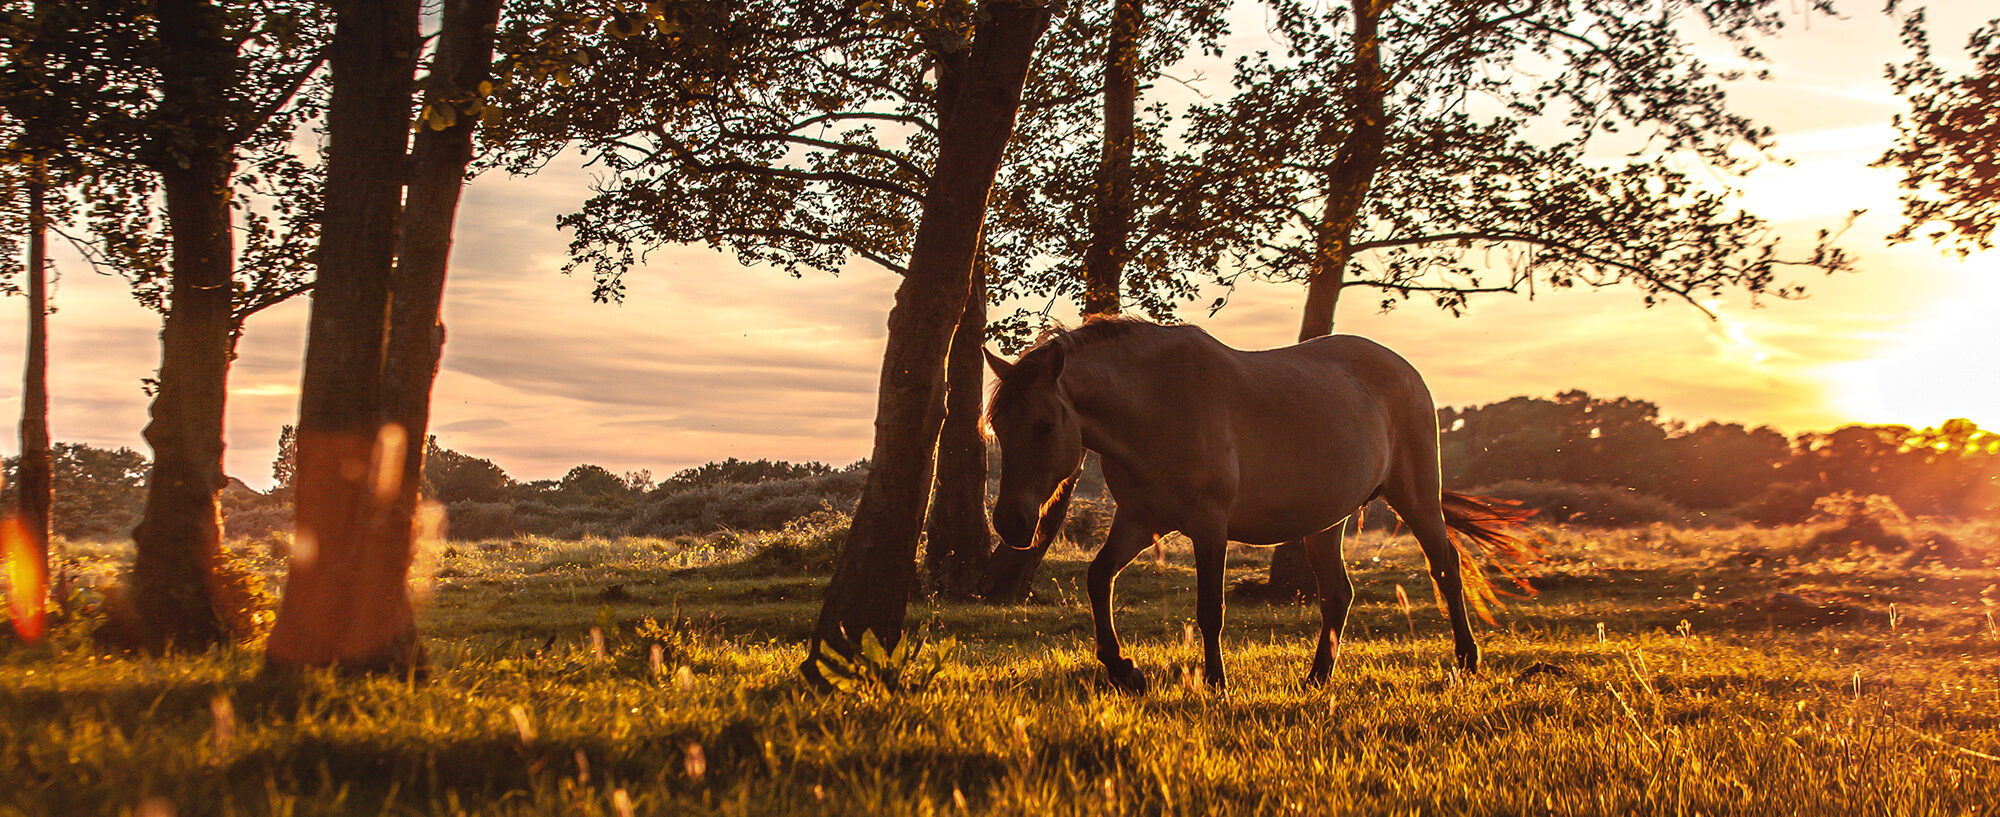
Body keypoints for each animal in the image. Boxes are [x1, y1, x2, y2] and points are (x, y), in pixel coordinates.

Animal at [980, 318, 1528, 688]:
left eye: (1044, 425)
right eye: (999, 426)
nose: (1009, 523)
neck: (1158, 404)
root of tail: (1405, 370)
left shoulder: (1209, 525)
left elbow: (1209, 609)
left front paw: (1215, 682)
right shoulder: (1139, 521)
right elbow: (1098, 578)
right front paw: (1123, 669)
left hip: (1415, 498)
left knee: (1446, 567)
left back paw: (1466, 660)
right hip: (1325, 521)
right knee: (1338, 594)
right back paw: (1317, 678)